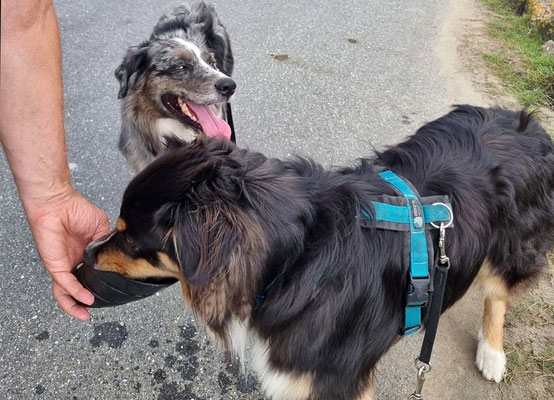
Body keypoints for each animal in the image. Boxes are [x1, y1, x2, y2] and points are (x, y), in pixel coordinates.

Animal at [75, 104, 548, 398]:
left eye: (133, 243)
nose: (81, 263)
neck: (297, 263)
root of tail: (527, 122)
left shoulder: (335, 380)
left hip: (514, 245)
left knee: (499, 292)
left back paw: (492, 353)